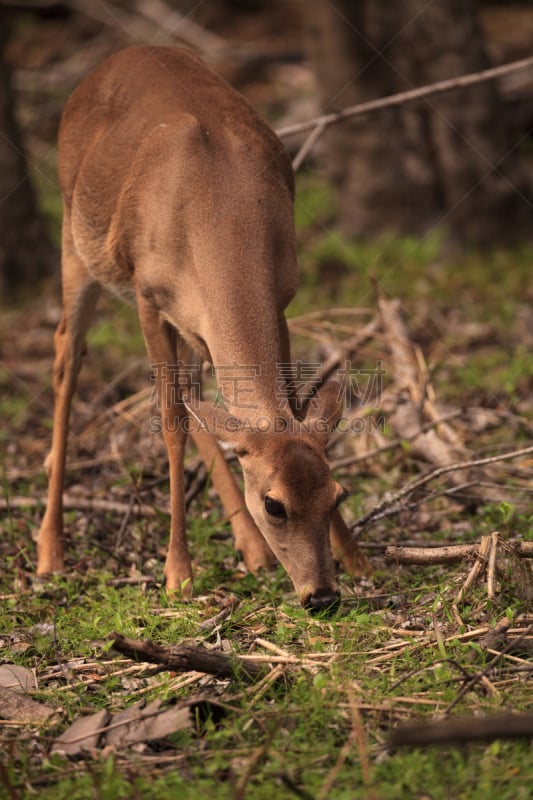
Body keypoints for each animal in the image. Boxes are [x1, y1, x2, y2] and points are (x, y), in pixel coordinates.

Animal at [37, 47, 366, 616]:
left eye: (337, 494)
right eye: (274, 504)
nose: (322, 595)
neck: (219, 211)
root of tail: (108, 62)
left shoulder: (279, 297)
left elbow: (276, 407)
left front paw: (357, 557)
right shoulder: (147, 297)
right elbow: (171, 422)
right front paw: (178, 575)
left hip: (191, 327)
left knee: (202, 402)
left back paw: (252, 551)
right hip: (75, 243)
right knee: (66, 356)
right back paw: (50, 551)